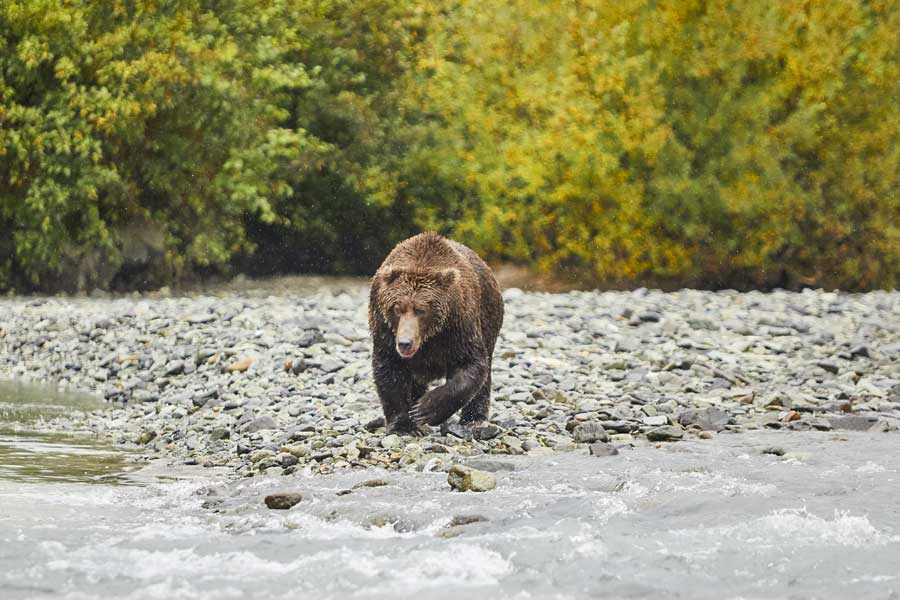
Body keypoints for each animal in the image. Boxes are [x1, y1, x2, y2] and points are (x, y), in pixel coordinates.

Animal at [368, 232, 506, 434]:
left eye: (421, 310)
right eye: (397, 308)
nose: (405, 343)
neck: (429, 337)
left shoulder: (458, 324)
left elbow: (471, 364)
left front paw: (425, 409)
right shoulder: (384, 327)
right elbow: (389, 369)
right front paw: (403, 425)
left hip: (489, 316)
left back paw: (474, 420)